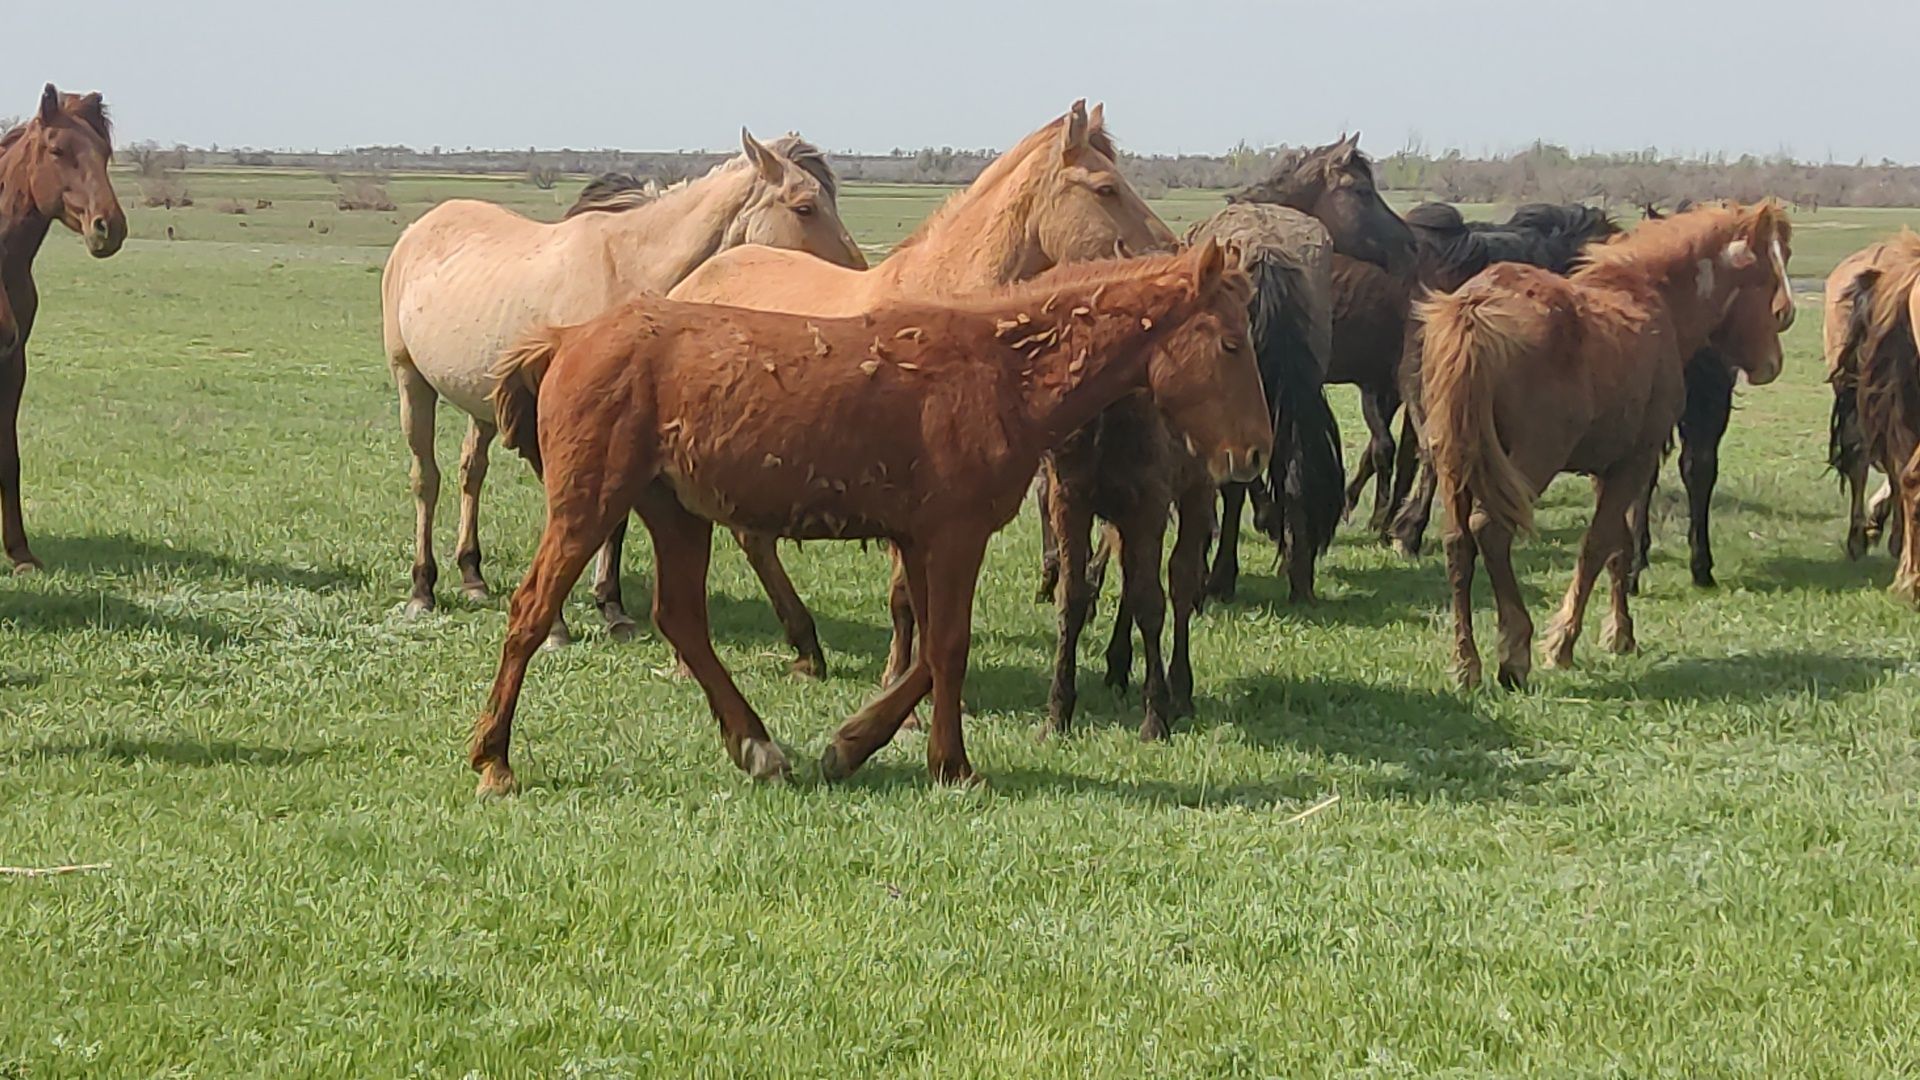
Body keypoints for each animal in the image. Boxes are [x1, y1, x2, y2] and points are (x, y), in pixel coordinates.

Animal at [0, 82, 127, 572]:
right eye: (57, 149)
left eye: (105, 152)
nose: (109, 228)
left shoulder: (14, 364)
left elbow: (8, 455)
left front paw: (20, 553)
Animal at [382, 129, 864, 634]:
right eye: (804, 207)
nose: (858, 277)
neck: (626, 276)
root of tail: (419, 229)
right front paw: (558, 627)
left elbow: (615, 520)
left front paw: (611, 606)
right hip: (411, 383)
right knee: (426, 479)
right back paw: (422, 589)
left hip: (483, 407)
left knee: (470, 473)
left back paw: (472, 575)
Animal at [476, 242, 1274, 791]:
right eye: (1231, 343)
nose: (1257, 452)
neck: (999, 370)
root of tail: (567, 339)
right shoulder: (955, 539)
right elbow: (947, 646)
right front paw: (952, 765)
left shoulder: (922, 543)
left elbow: (925, 652)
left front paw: (853, 744)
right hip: (588, 508)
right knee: (532, 610)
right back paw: (494, 759)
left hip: (675, 513)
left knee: (682, 620)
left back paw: (758, 747)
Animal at [1428, 200, 1797, 684]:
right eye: (1767, 273)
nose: (1773, 362)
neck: (1648, 295)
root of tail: (1474, 311)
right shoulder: (1637, 460)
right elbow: (1598, 545)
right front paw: (1563, 643)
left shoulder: (1607, 467)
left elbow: (1619, 546)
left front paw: (1621, 633)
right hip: (1529, 464)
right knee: (1490, 530)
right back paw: (1514, 652)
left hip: (1457, 459)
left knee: (1457, 542)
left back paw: (1465, 663)